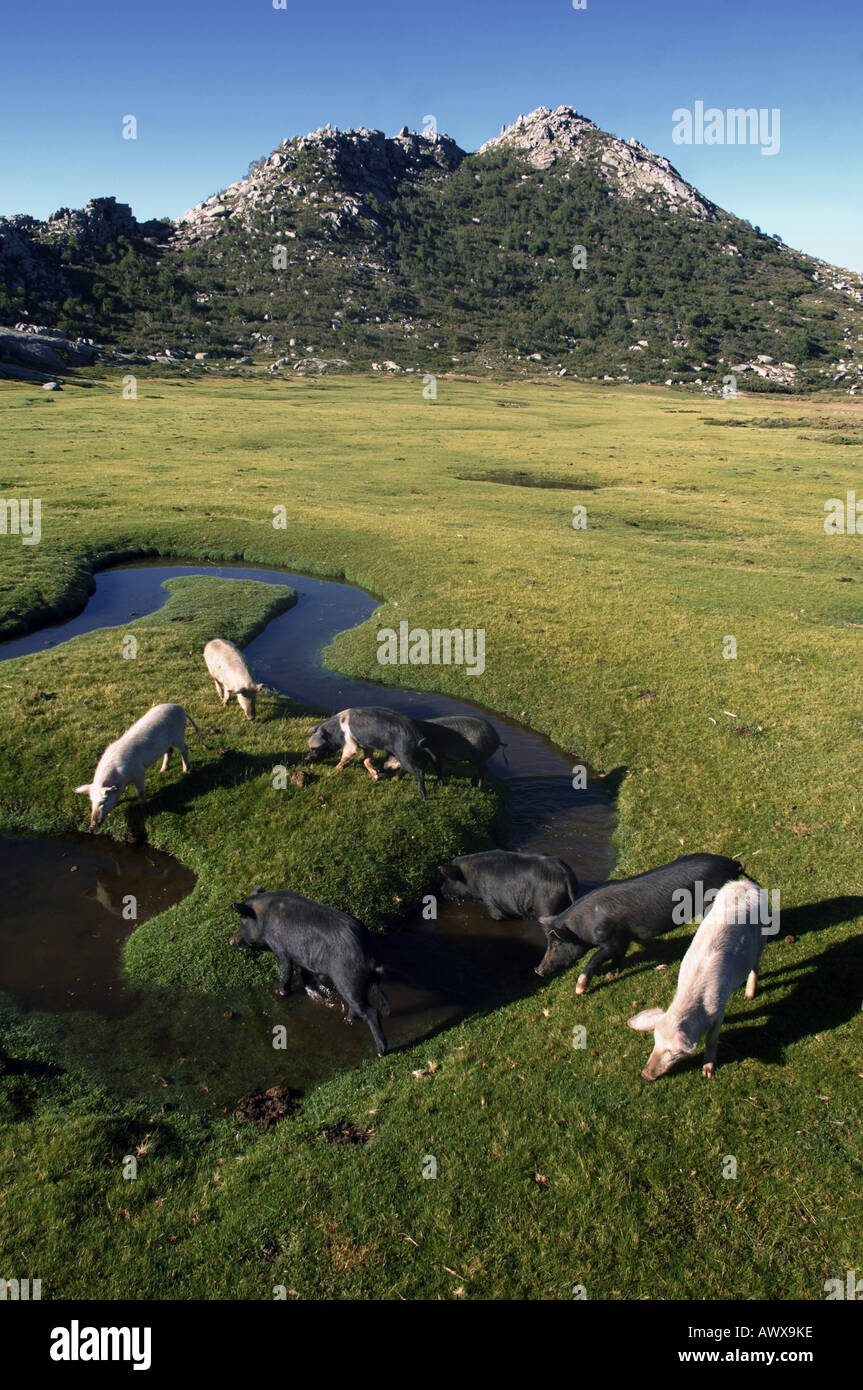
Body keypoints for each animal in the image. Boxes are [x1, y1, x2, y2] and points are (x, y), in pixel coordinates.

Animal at [73, 700, 200, 828]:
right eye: (91, 802)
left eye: (103, 801)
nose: (92, 825)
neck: (121, 777)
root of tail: (180, 707)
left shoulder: (139, 772)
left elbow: (140, 792)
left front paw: (143, 807)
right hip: (168, 743)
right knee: (169, 752)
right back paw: (162, 770)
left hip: (178, 736)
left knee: (185, 749)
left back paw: (186, 770)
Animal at [230, 884, 389, 1056]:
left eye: (242, 921)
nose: (231, 940)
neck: (265, 915)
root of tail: (369, 956)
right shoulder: (302, 958)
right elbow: (304, 973)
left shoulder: (280, 948)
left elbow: (286, 971)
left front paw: (281, 993)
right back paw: (348, 1021)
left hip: (347, 980)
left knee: (370, 1011)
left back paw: (380, 1052)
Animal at [436, 850, 578, 917]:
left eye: (448, 879)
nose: (441, 890)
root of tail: (567, 878)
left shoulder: (491, 900)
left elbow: (498, 916)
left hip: (546, 904)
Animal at [530, 850, 739, 995]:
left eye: (556, 944)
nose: (537, 970)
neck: (583, 926)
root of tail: (733, 863)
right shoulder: (624, 938)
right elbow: (618, 956)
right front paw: (611, 973)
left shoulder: (611, 939)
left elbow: (595, 957)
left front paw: (579, 989)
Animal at [625, 872, 767, 1078]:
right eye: (655, 1041)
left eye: (673, 1051)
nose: (645, 1074)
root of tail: (746, 884)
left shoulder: (720, 1006)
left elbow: (711, 1039)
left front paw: (707, 1073)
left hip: (762, 936)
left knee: (755, 965)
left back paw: (749, 996)